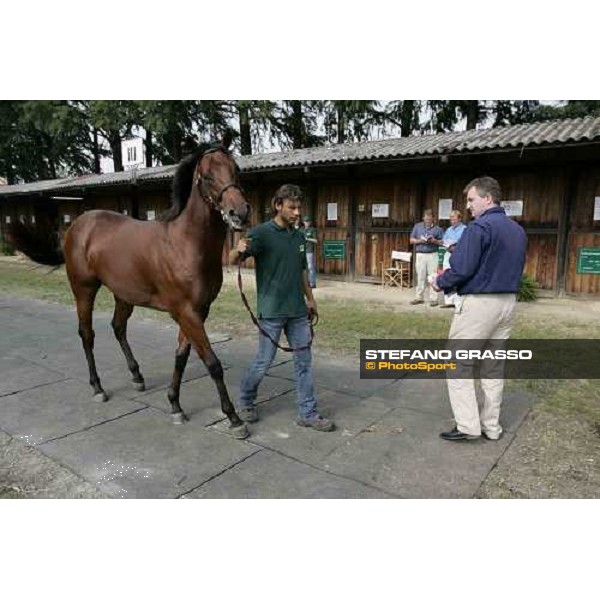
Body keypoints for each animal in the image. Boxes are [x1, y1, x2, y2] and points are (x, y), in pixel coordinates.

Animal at [9, 141, 253, 440]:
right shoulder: (187, 313)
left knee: (118, 327)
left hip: (123, 295)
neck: (184, 244)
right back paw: (98, 388)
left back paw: (137, 377)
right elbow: (212, 363)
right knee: (87, 334)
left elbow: (181, 356)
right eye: (207, 176)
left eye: (236, 170)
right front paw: (234, 418)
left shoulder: (197, 312)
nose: (239, 213)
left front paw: (174, 404)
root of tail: (77, 225)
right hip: (84, 290)